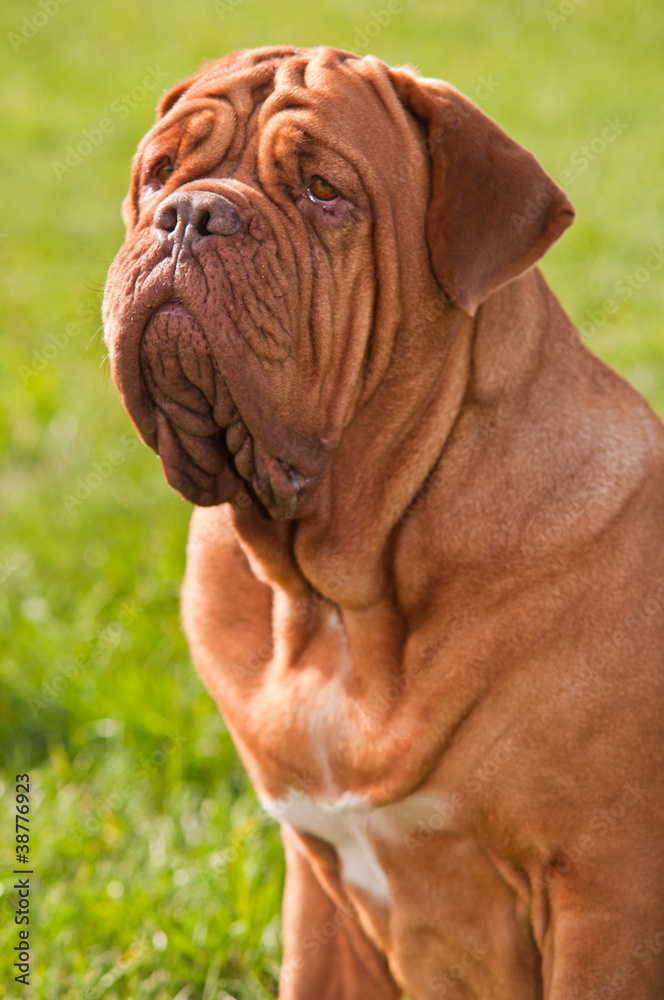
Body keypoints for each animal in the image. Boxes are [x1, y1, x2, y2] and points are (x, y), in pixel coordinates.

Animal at [102, 43, 664, 996]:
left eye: (324, 190)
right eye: (161, 172)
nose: (190, 216)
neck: (335, 603)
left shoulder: (605, 894)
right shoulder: (321, 887)